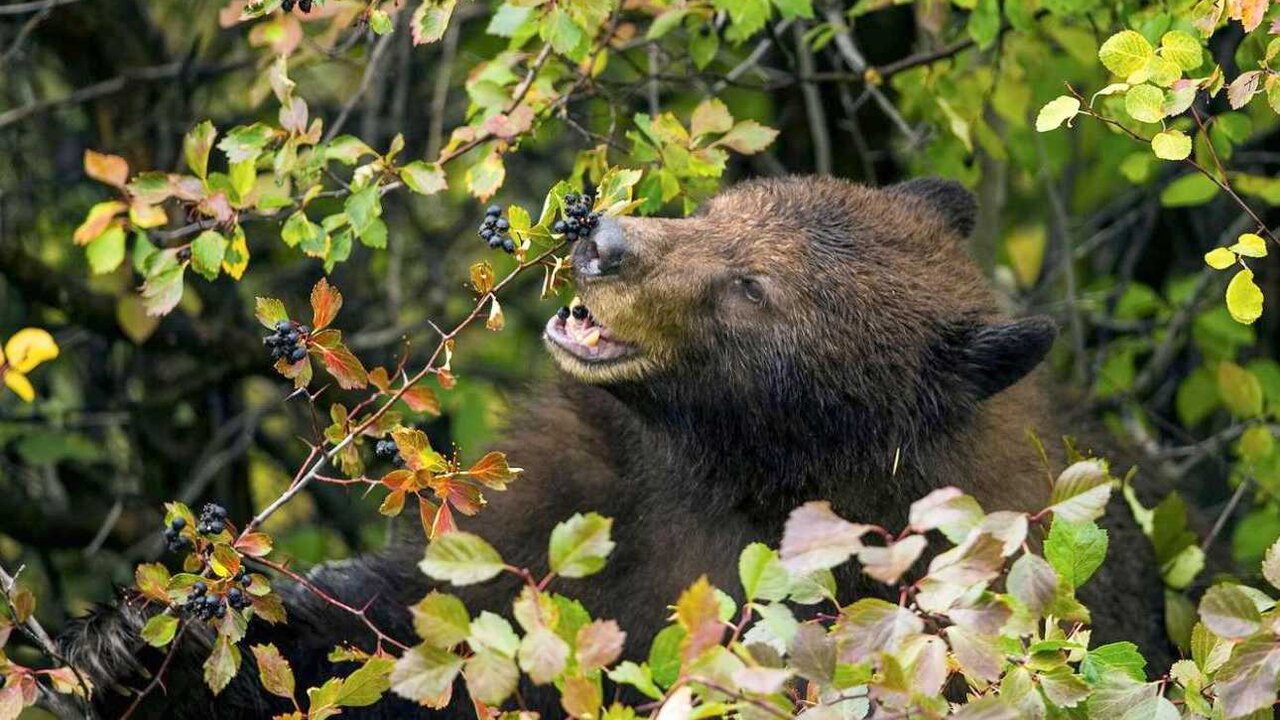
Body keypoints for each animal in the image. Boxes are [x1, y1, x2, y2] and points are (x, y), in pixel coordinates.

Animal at [57, 175, 1172, 717]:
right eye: (722, 206)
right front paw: (135, 642)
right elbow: (413, 623)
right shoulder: (584, 497)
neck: (736, 475)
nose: (603, 240)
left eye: (754, 287)